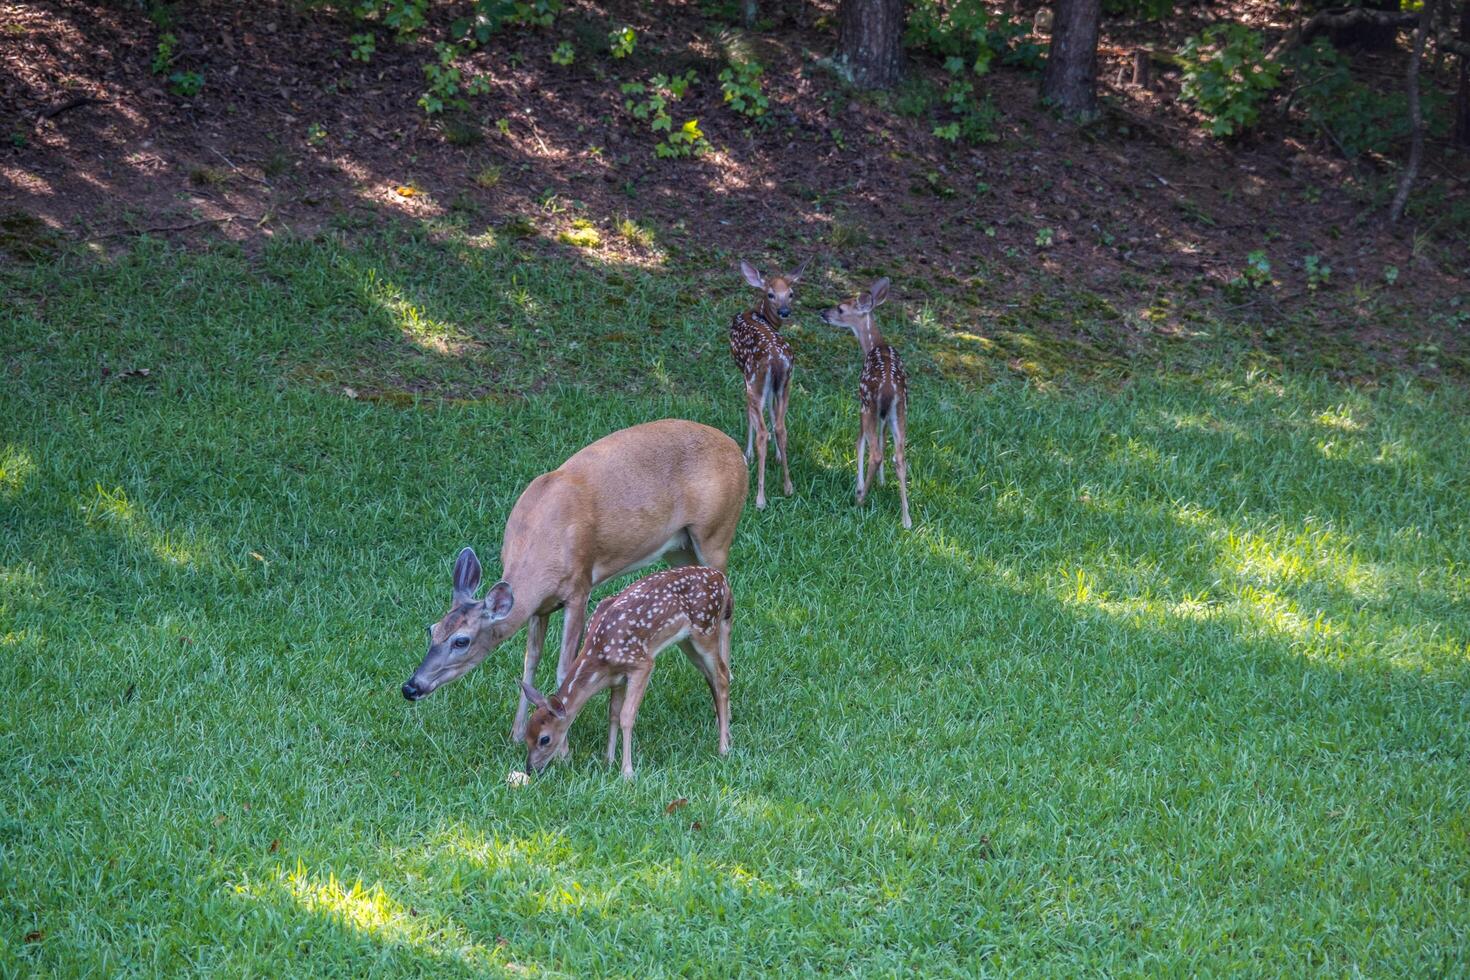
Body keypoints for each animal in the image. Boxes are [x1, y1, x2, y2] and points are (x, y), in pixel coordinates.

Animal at [402, 417, 746, 743]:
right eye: (432, 629)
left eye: (462, 640)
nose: (411, 686)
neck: (540, 544)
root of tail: (737, 452)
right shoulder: (540, 607)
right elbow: (530, 662)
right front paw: (516, 734)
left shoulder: (579, 587)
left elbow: (563, 667)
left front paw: (563, 742)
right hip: (679, 548)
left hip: (715, 533)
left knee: (728, 607)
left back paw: (724, 706)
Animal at [520, 567, 732, 781]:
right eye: (527, 736)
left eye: (544, 739)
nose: (530, 769)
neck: (599, 657)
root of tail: (723, 580)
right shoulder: (617, 678)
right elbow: (613, 714)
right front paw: (608, 760)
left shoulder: (641, 664)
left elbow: (627, 716)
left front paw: (627, 772)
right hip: (687, 641)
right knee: (712, 677)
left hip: (705, 629)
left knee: (722, 675)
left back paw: (723, 748)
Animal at [729, 257, 811, 511]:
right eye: (771, 293)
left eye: (791, 293)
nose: (785, 311)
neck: (759, 314)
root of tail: (775, 359)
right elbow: (775, 417)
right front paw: (777, 456)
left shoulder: (745, 375)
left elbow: (749, 415)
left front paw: (747, 454)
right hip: (786, 383)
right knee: (781, 427)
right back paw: (788, 486)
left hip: (756, 381)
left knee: (763, 432)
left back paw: (760, 498)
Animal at [823, 279, 911, 528]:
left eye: (841, 308)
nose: (823, 313)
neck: (873, 344)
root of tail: (889, 387)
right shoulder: (884, 414)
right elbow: (883, 437)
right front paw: (881, 482)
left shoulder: (861, 401)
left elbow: (859, 441)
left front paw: (860, 486)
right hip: (900, 410)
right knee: (899, 456)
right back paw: (907, 518)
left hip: (868, 404)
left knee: (875, 453)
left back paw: (860, 500)